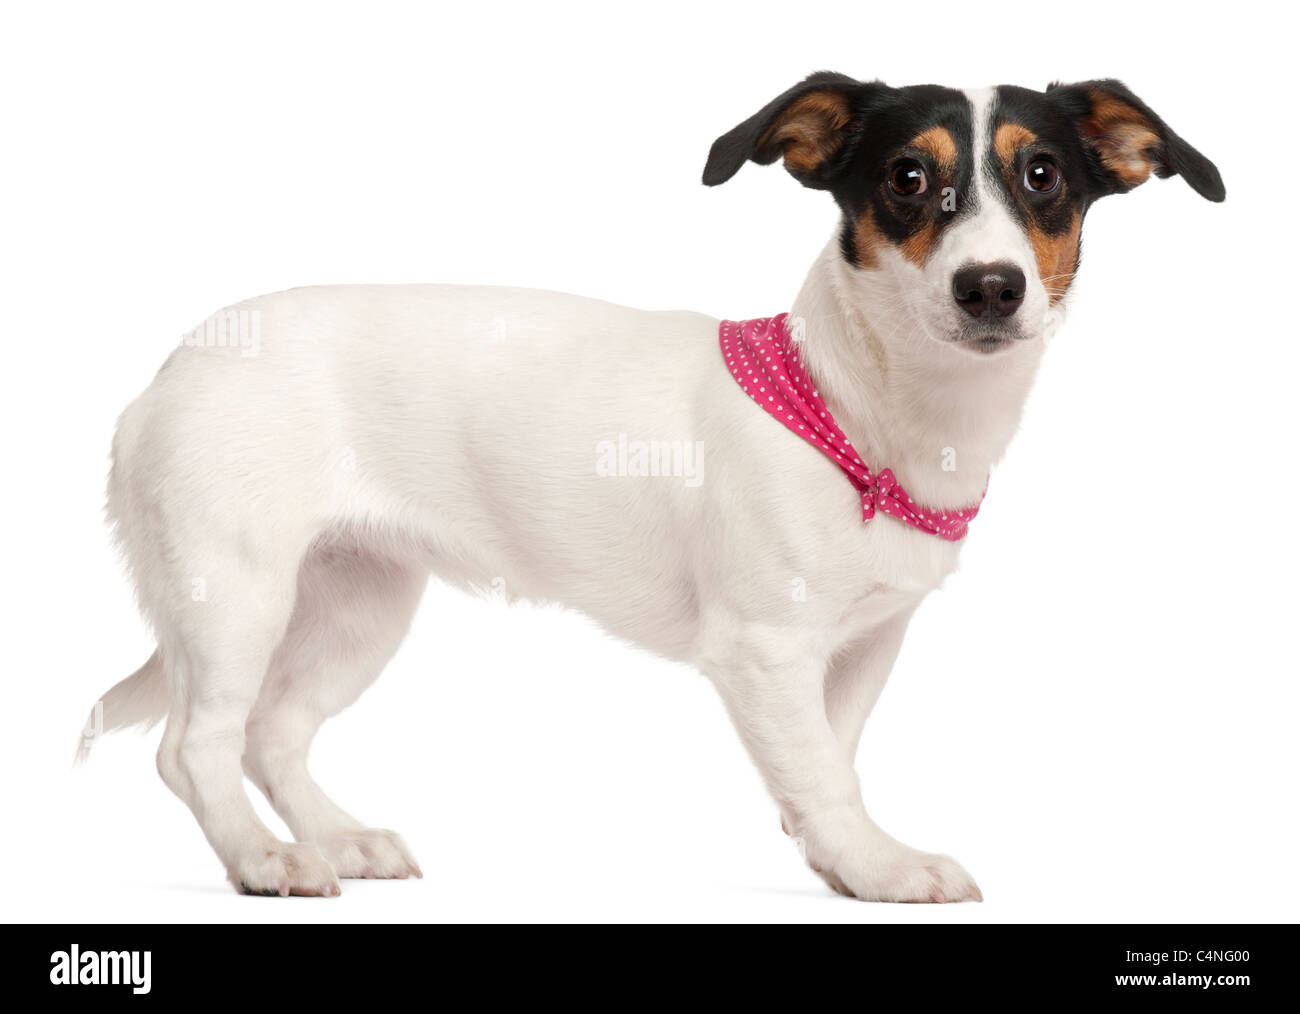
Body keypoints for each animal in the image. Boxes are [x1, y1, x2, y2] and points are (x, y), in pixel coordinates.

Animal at [81, 73, 1216, 904]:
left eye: (1042, 175)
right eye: (905, 177)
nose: (990, 288)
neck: (853, 411)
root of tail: (167, 373)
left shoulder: (862, 645)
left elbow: (830, 756)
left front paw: (831, 850)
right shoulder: (764, 650)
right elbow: (823, 769)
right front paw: (877, 864)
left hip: (356, 605)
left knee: (274, 732)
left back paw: (334, 838)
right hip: (235, 595)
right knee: (196, 746)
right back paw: (260, 858)